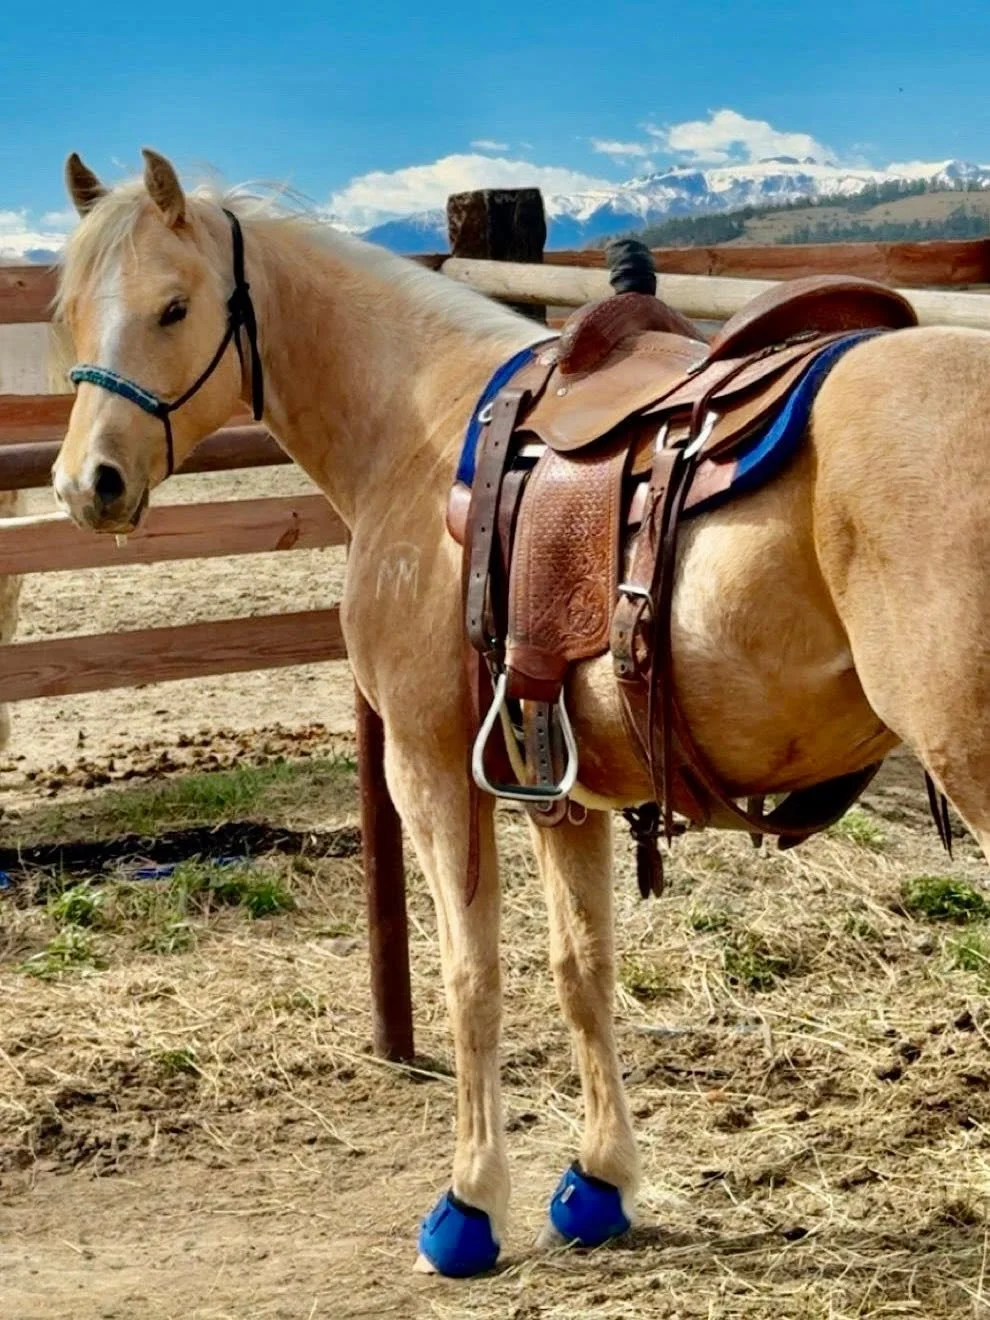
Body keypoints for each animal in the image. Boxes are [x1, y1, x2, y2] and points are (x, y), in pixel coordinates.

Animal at [51, 147, 990, 1277]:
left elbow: (472, 975)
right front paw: (597, 1184)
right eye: (67, 313)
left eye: (174, 306)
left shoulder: (430, 771)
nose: (89, 485)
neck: (418, 432)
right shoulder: (562, 784)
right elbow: (581, 968)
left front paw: (469, 1204)